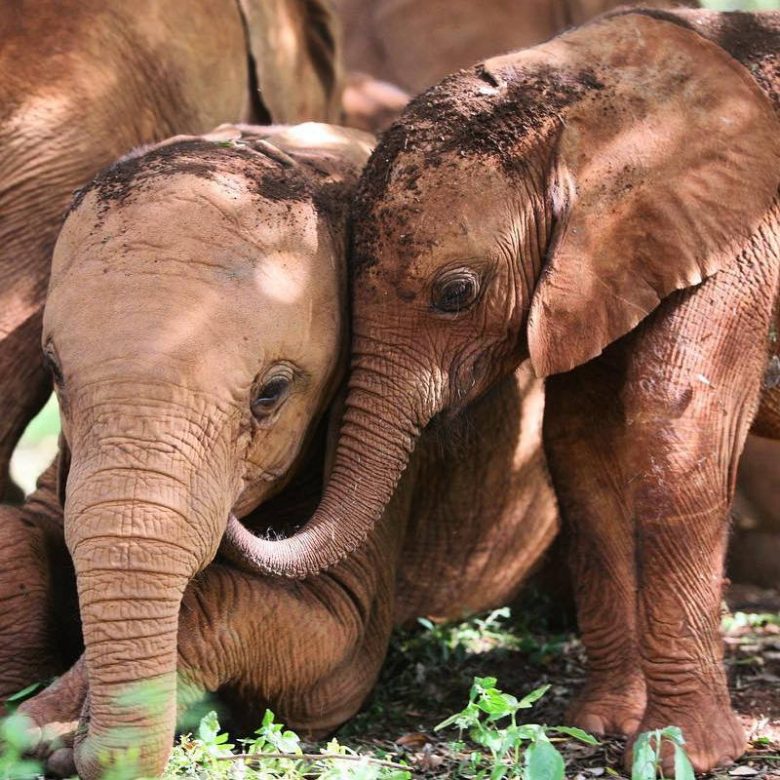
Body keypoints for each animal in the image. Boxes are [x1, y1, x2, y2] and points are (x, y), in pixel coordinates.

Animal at [10, 125, 560, 776]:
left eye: (271, 392)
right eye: (52, 370)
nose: (80, 746)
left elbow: (339, 638)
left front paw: (44, 731)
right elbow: (20, 540)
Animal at [225, 7, 780, 772]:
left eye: (456, 293)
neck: (583, 102)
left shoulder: (740, 236)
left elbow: (674, 422)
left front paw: (683, 757)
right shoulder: (603, 265)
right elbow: (581, 440)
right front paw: (601, 723)